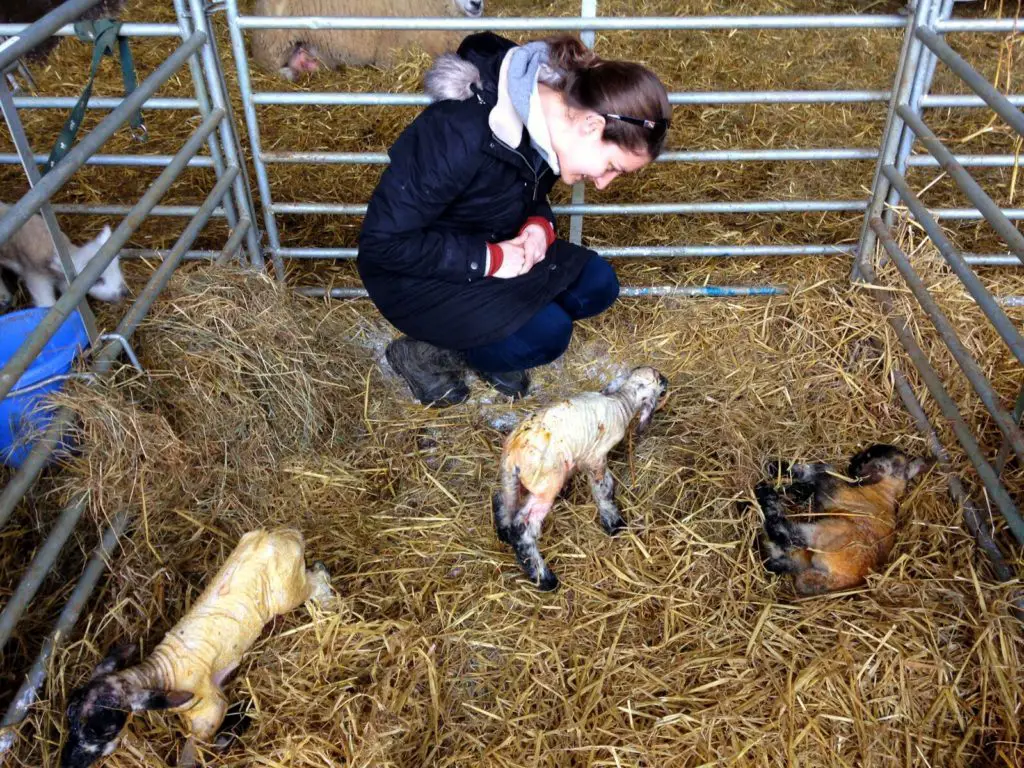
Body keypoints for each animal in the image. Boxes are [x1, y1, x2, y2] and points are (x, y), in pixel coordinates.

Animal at [0, 208, 128, 311]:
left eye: (117, 266)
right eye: (97, 280)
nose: (124, 292)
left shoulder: (65, 282)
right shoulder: (35, 276)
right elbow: (46, 301)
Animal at [59, 528, 333, 768]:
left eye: (104, 731)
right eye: (69, 718)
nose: (68, 763)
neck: (163, 674)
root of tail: (283, 535)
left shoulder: (211, 709)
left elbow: (190, 755)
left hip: (287, 592)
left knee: (316, 577)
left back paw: (328, 599)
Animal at [491, 370, 667, 593]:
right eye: (659, 379)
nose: (667, 380)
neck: (620, 402)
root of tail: (513, 453)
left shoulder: (580, 455)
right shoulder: (596, 457)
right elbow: (603, 488)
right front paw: (613, 522)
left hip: (511, 478)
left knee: (502, 499)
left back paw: (503, 532)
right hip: (546, 485)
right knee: (523, 527)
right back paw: (544, 578)